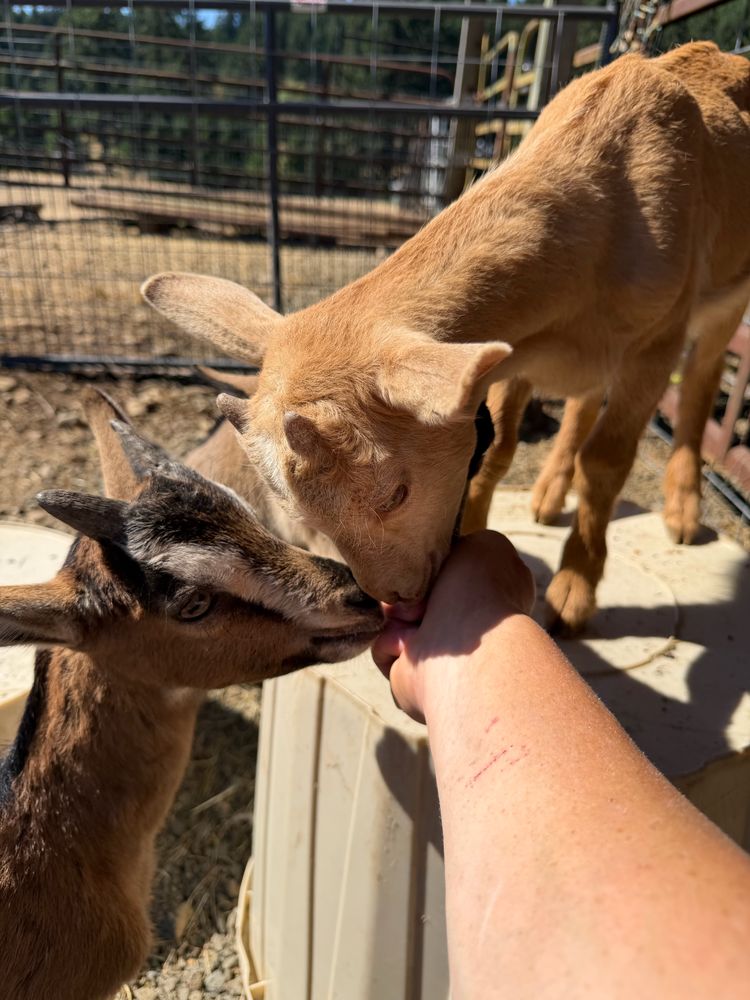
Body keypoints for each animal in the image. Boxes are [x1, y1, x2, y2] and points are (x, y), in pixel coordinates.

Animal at [141, 41, 750, 632]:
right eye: (299, 517)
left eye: (396, 492)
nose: (397, 597)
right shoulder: (512, 353)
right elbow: (498, 447)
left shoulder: (655, 343)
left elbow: (604, 462)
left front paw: (573, 595)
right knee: (582, 401)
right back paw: (549, 495)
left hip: (724, 304)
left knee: (702, 381)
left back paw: (682, 510)